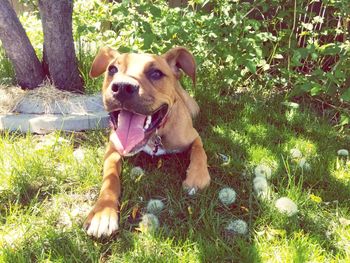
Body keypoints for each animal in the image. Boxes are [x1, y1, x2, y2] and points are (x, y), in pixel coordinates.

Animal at [84, 46, 211, 238]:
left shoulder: (193, 136)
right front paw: (103, 212)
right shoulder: (113, 147)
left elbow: (199, 152)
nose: (123, 87)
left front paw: (197, 176)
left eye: (156, 73)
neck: (155, 135)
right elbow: (110, 176)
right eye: (112, 69)